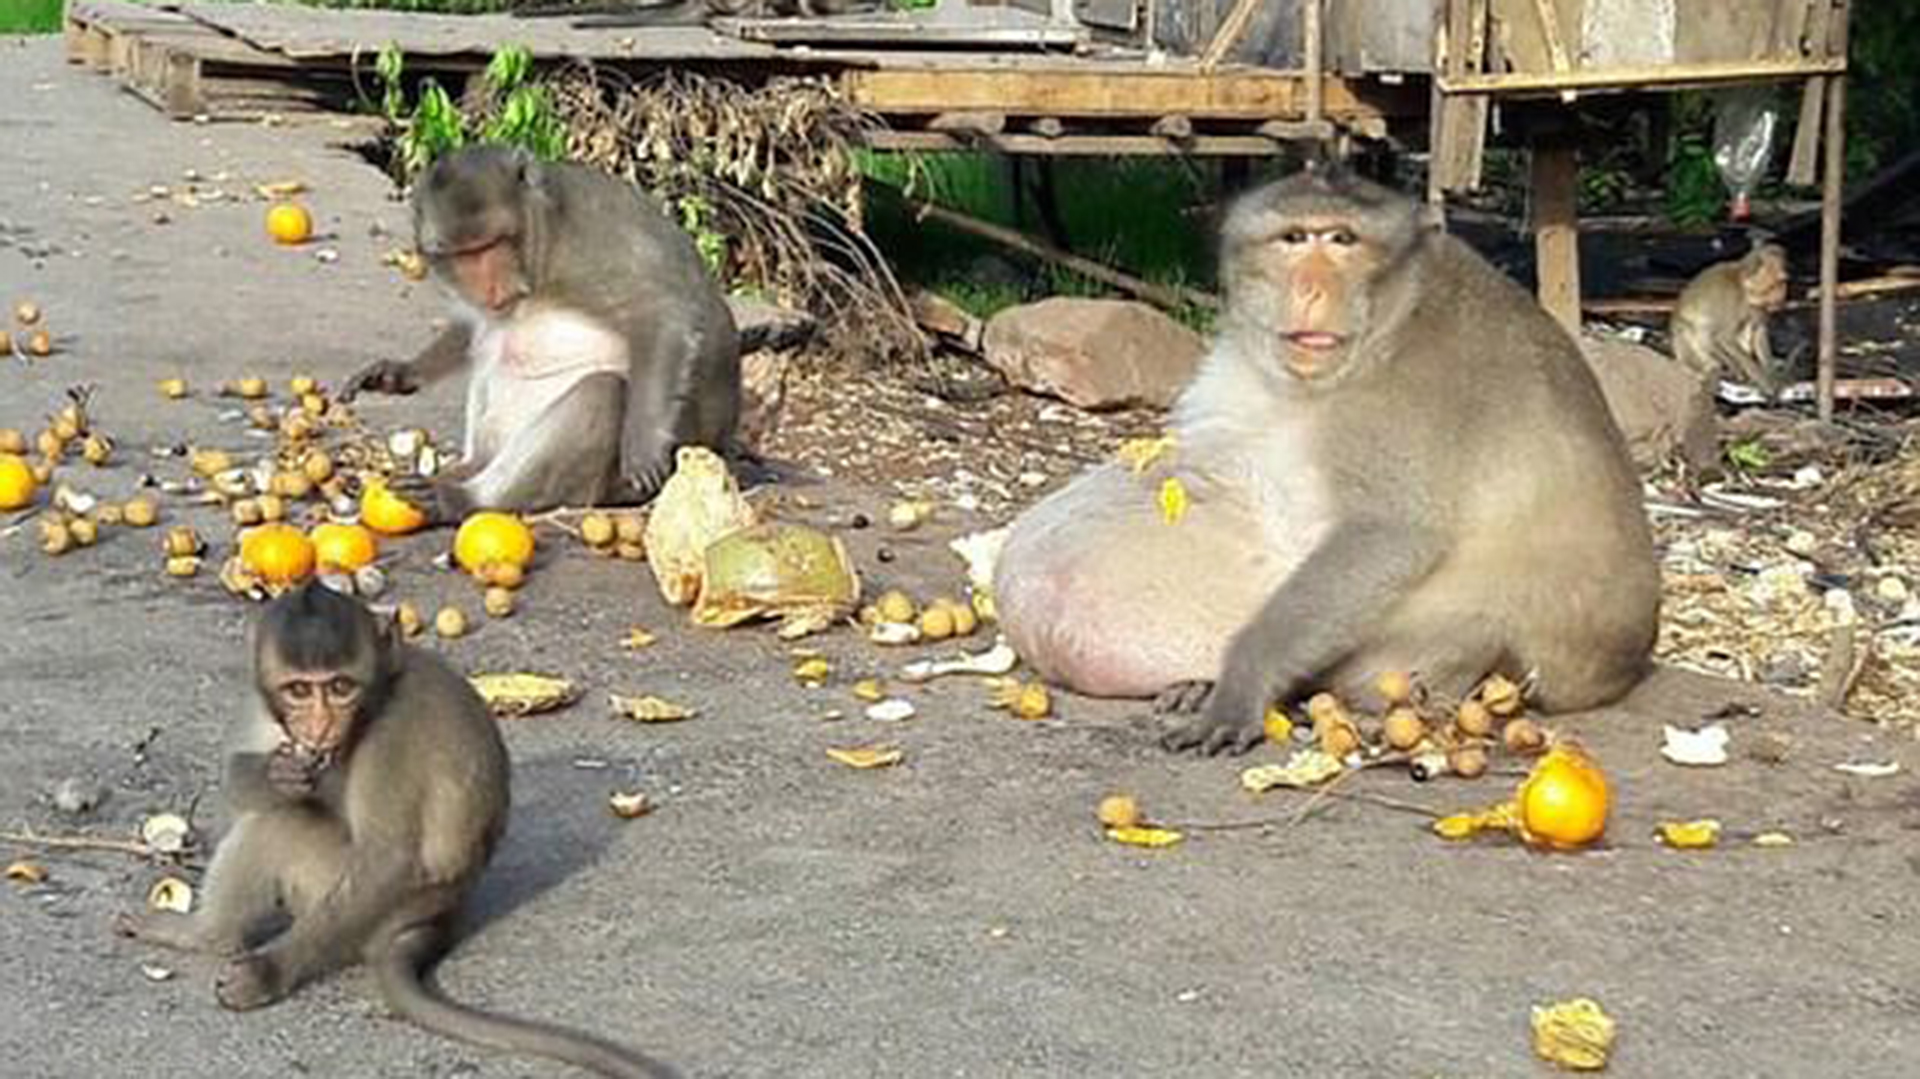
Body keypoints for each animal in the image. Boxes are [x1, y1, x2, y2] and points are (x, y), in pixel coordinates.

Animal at [116, 579, 675, 1075]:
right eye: (298, 690)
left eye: (341, 687)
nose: (320, 726)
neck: (384, 687)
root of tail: (437, 919)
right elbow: (236, 775)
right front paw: (281, 774)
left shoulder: (392, 733)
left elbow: (388, 858)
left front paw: (267, 973)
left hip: (348, 907)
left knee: (280, 826)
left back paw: (210, 937)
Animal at [345, 143, 741, 522]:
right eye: (464, 254)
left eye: (491, 245)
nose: (489, 288)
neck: (542, 239)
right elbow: (473, 323)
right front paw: (401, 372)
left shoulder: (587, 249)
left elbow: (663, 313)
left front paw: (642, 446)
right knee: (493, 337)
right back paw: (466, 470)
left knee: (602, 392)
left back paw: (463, 500)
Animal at [998, 169, 1658, 756]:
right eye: (1294, 238)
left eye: (1342, 240)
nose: (1311, 290)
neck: (1387, 325)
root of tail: (1626, 664)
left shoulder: (1410, 397)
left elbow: (1391, 535)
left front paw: (1243, 680)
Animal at [1674, 241, 1789, 393]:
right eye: (1776, 285)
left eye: (1782, 283)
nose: (1782, 294)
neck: (1746, 288)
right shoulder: (1731, 297)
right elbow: (1725, 337)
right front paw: (1764, 381)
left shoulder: (1758, 308)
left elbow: (1758, 333)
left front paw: (1773, 376)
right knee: (1690, 330)